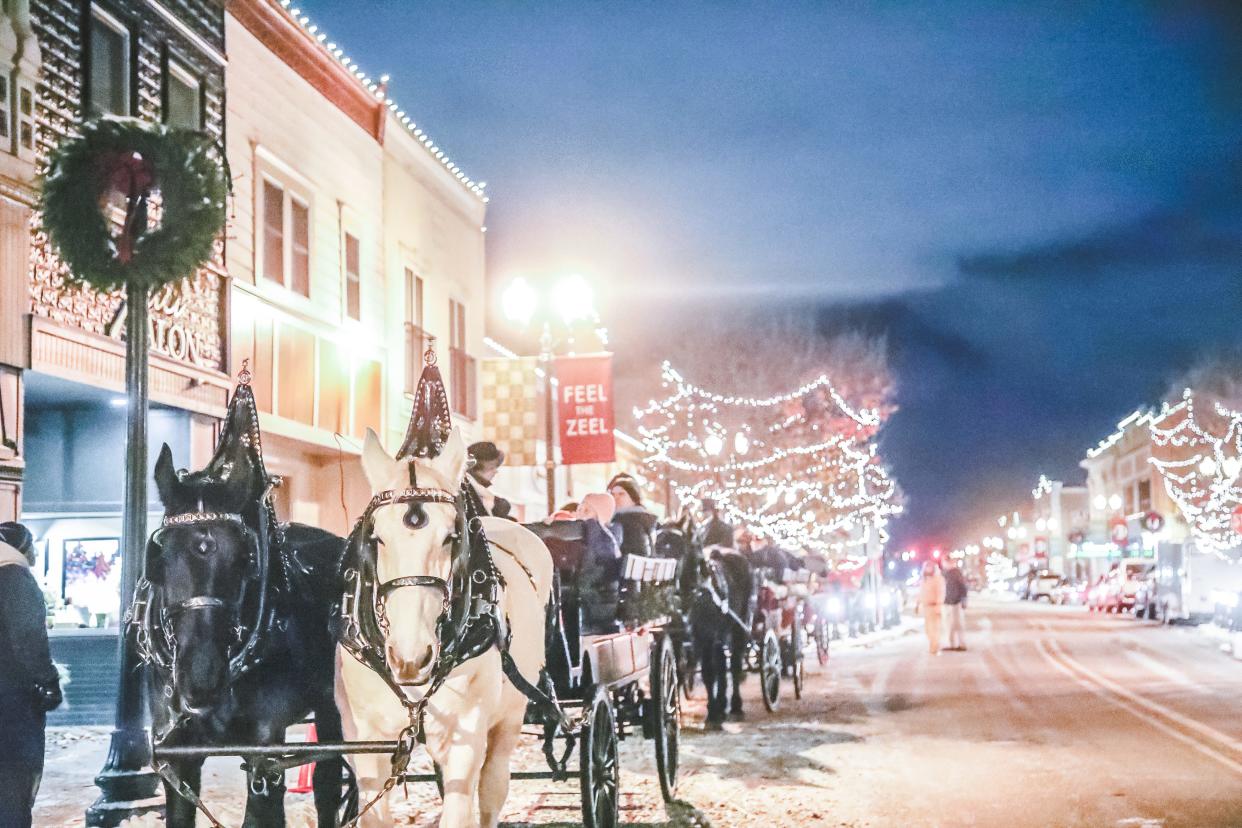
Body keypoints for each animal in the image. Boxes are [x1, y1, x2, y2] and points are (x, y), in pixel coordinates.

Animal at [142, 382, 355, 828]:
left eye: (245, 558)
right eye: (159, 554)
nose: (201, 680)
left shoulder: (264, 754)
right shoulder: (178, 753)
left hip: (333, 708)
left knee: (327, 781)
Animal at [337, 427, 556, 828]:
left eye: (451, 537)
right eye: (376, 538)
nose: (410, 658)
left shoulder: (465, 737)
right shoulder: (366, 739)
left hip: (508, 720)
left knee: (491, 793)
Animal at [655, 518, 750, 729]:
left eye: (679, 546)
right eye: (656, 544)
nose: (663, 580)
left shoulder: (705, 635)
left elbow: (708, 672)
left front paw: (713, 713)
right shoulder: (680, 637)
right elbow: (677, 672)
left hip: (738, 627)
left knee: (734, 664)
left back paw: (735, 706)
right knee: (722, 663)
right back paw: (722, 705)